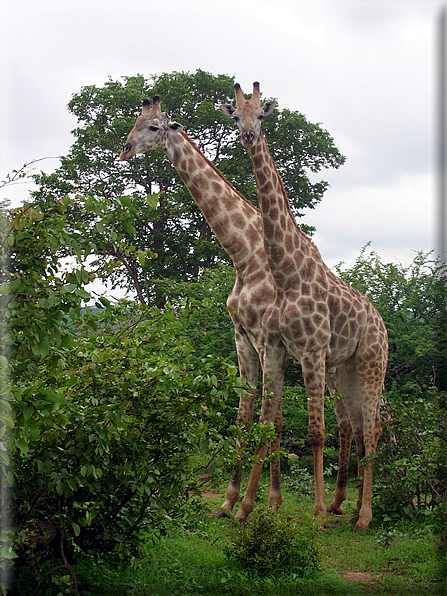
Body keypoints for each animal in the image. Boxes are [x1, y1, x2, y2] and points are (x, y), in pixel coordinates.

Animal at [121, 96, 292, 516]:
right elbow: (245, 416)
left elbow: (264, 417)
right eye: (135, 120)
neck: (244, 254)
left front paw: (248, 505)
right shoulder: (242, 336)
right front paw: (231, 502)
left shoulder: (267, 340)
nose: (125, 149)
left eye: (155, 127)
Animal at [223, 80, 388, 532]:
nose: (248, 135)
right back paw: (344, 506)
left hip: (372, 364)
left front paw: (311, 515)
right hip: (345, 369)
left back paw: (363, 517)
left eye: (262, 114)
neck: (287, 273)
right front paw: (255, 506)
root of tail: (382, 323)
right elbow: (275, 425)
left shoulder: (310, 351)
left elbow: (315, 433)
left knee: (372, 430)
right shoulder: (282, 349)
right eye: (235, 115)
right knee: (355, 427)